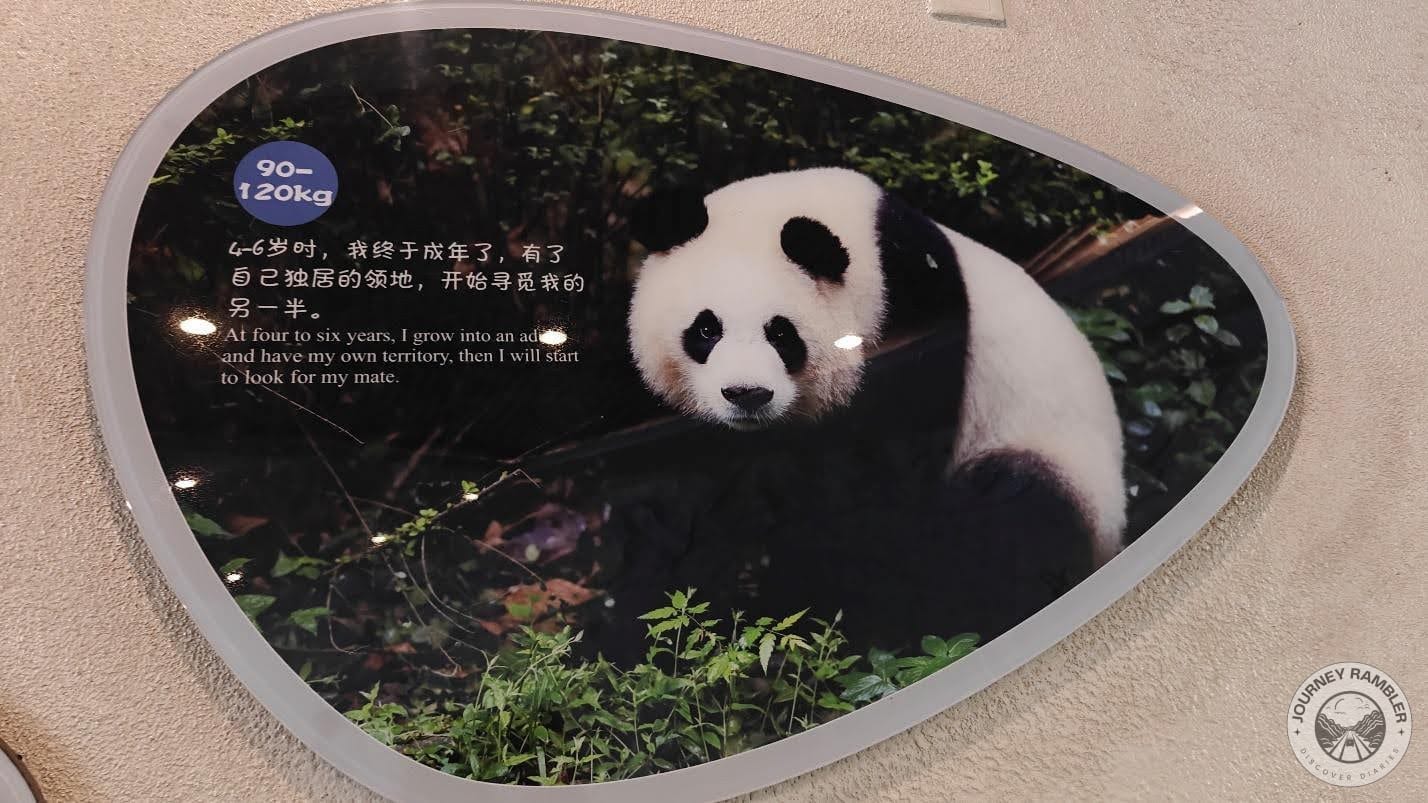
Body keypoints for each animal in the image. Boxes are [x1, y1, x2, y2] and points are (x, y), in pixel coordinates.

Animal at [604, 167, 1124, 657]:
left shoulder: (923, 320)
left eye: (781, 334)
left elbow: (883, 485)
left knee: (1013, 516)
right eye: (706, 329)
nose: (746, 393)